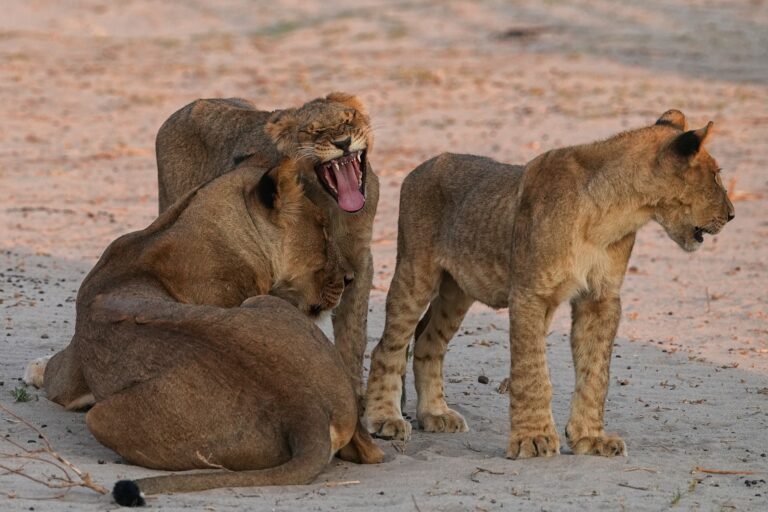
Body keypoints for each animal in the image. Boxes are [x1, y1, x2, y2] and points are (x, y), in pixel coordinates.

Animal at [25, 158, 383, 503]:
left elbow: (54, 372)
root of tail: (304, 409)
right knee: (371, 451)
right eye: (322, 231)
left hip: (101, 417)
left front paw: (34, 369)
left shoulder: (68, 380)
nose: (350, 278)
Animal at [155, 92, 378, 397]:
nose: (343, 143)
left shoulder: (360, 261)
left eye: (349, 119)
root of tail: (189, 105)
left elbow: (354, 335)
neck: (337, 211)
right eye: (312, 131)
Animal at [363, 110, 734, 460]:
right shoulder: (530, 292)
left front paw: (590, 439)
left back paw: (436, 414)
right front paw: (533, 438)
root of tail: (421, 166)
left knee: (428, 343)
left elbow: (595, 372)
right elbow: (532, 372)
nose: (731, 214)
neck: (615, 213)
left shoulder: (601, 298)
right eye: (717, 175)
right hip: (416, 272)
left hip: (458, 290)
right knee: (388, 346)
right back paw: (384, 418)